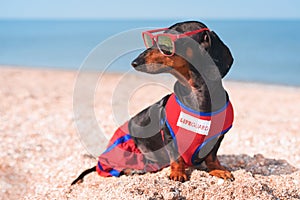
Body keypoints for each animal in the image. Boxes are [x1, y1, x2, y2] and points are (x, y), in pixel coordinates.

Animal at [72, 20, 234, 184]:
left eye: (168, 42)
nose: (135, 62)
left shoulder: (217, 138)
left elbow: (211, 156)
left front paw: (218, 169)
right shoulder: (168, 135)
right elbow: (176, 157)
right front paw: (177, 173)